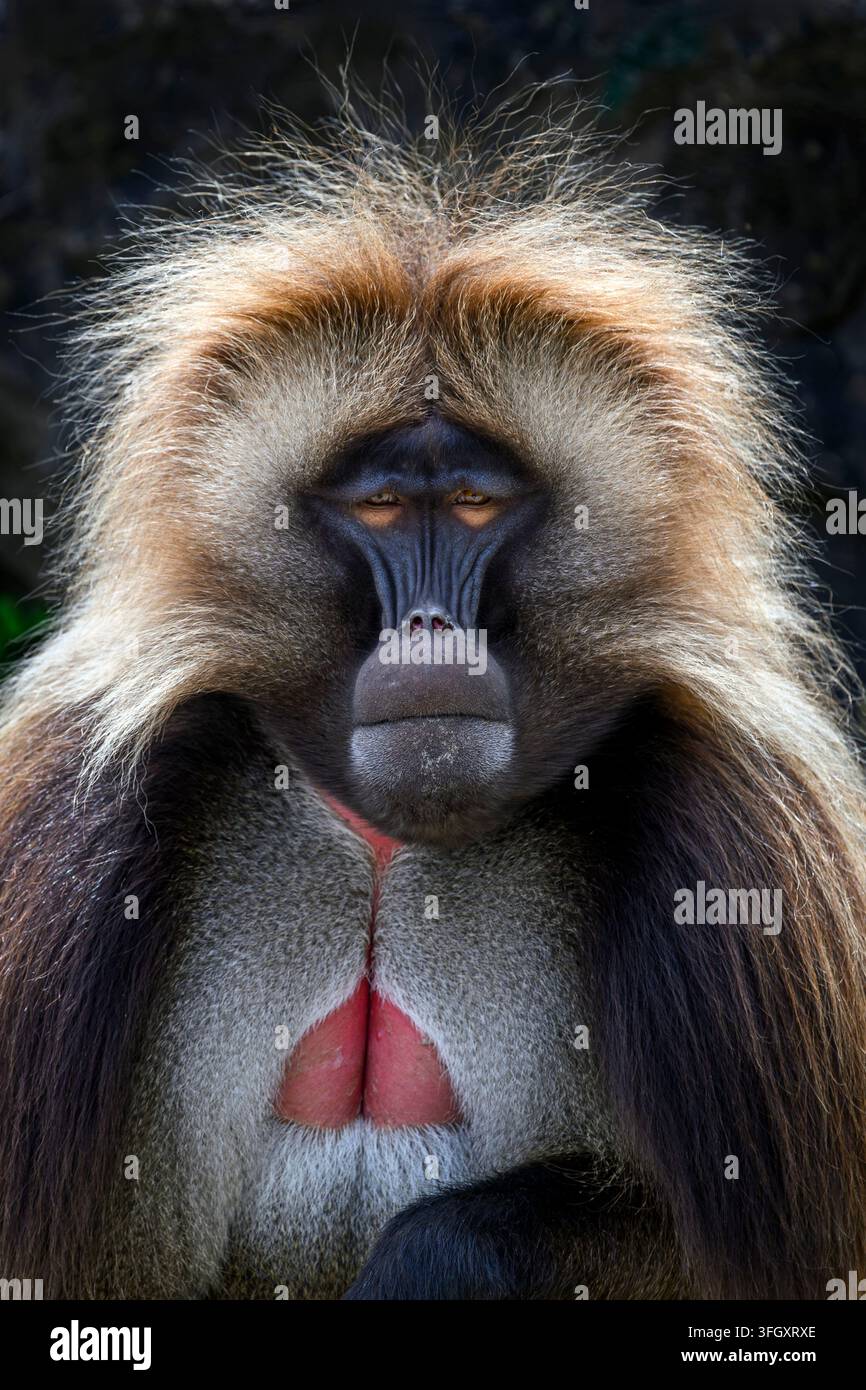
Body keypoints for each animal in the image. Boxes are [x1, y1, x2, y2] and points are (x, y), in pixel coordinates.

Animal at [1, 103, 866, 1303]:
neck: (386, 843)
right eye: (376, 506)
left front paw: (435, 1253)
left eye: (469, 504)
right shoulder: (56, 833)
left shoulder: (749, 842)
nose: (428, 632)